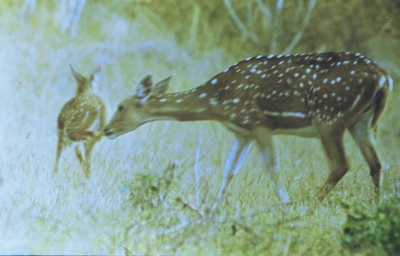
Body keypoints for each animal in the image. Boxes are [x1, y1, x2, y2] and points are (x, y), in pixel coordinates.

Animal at [104, 51, 394, 210]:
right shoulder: (241, 131)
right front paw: (214, 208)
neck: (216, 102)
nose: (106, 130)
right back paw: (376, 206)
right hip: (363, 121)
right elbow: (229, 170)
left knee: (341, 165)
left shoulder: (258, 122)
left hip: (329, 115)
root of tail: (383, 76)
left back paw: (309, 206)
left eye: (120, 106)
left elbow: (272, 166)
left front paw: (287, 204)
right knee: (376, 163)